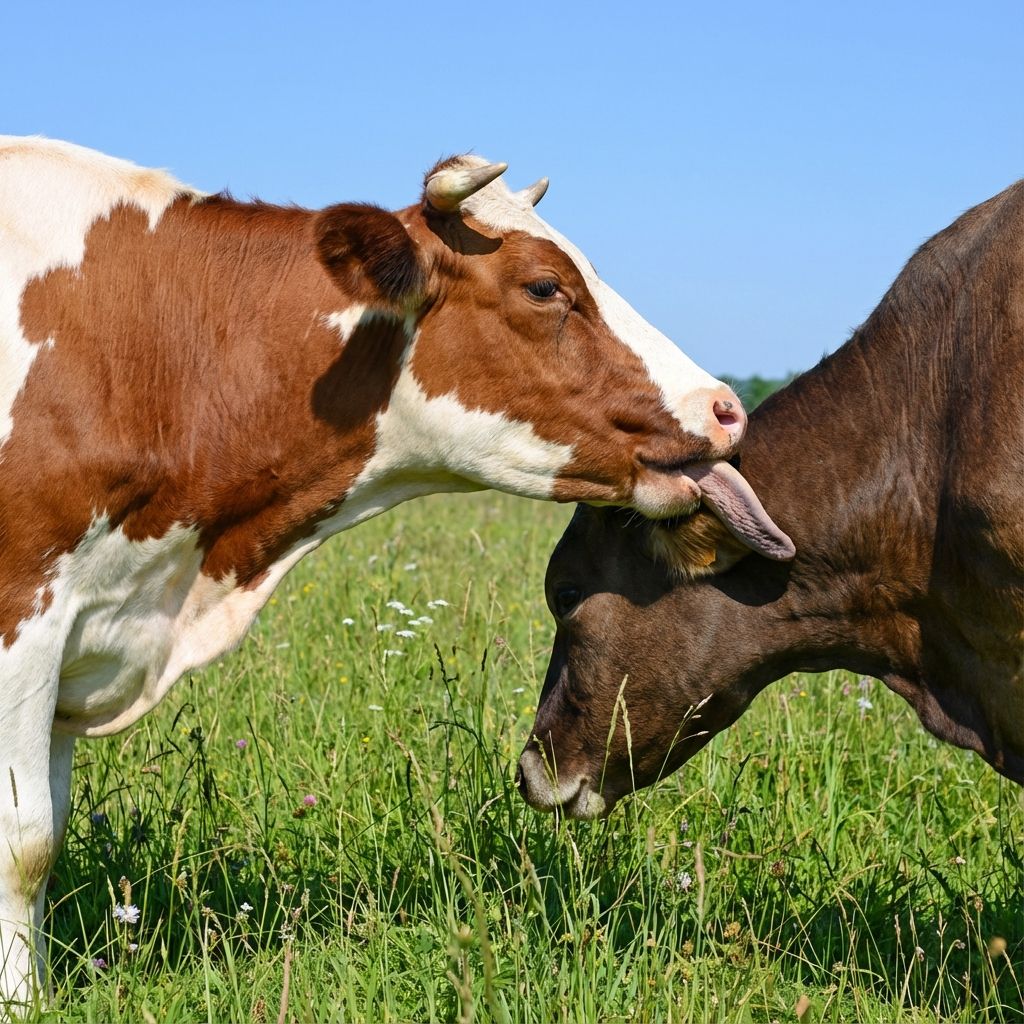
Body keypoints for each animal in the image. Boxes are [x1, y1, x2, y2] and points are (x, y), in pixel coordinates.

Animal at [0, 136, 750, 1006]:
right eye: (544, 286)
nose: (725, 408)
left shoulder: (82, 630)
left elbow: (46, 830)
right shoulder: (25, 613)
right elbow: (25, 840)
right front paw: (19, 1003)